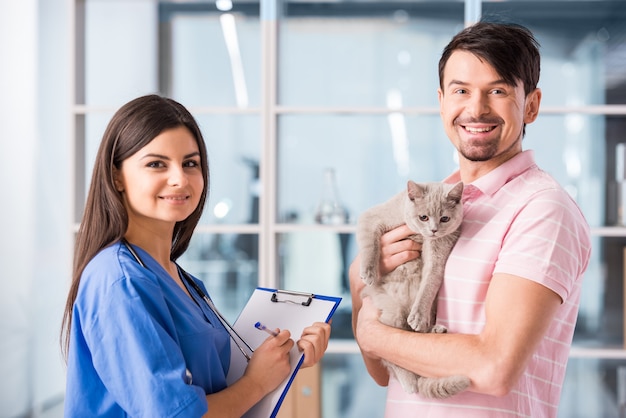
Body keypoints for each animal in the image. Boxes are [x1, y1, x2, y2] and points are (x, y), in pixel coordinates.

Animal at [356, 180, 468, 398]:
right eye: (423, 217)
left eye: (444, 218)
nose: (433, 230)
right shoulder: (372, 217)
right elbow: (370, 244)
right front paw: (368, 272)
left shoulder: (438, 252)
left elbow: (430, 282)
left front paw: (418, 316)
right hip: (392, 312)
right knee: (390, 354)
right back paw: (409, 381)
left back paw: (434, 329)